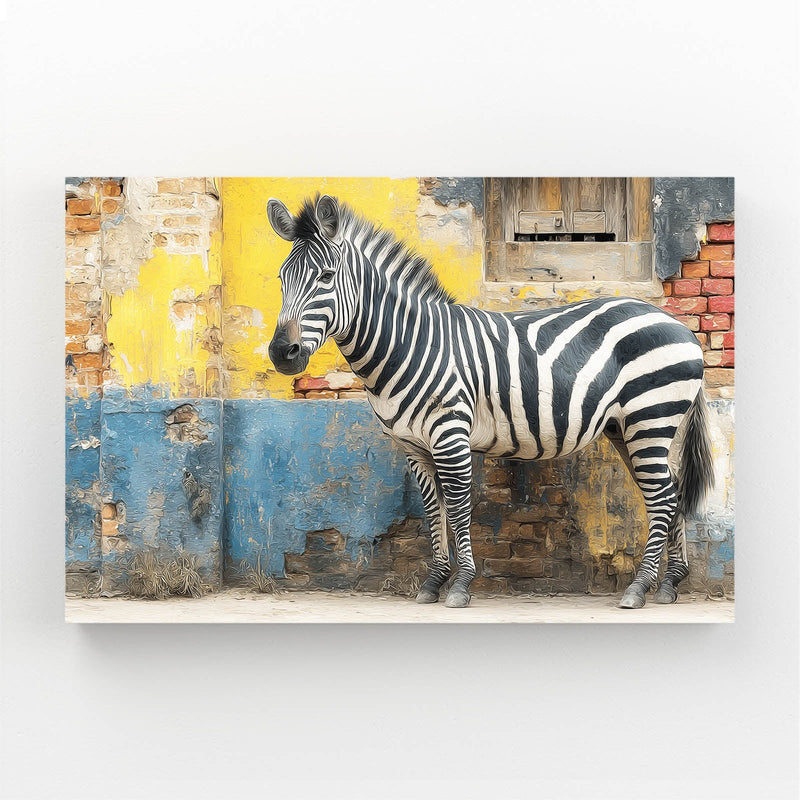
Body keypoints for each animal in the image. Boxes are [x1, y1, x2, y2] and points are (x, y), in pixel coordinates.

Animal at [267, 194, 715, 610]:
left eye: (326, 276)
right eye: (281, 278)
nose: (282, 353)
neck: (410, 344)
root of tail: (678, 324)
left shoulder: (449, 434)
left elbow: (459, 506)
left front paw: (461, 585)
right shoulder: (413, 446)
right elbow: (434, 509)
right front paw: (434, 581)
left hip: (649, 417)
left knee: (661, 497)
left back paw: (639, 587)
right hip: (628, 427)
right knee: (670, 491)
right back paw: (670, 583)